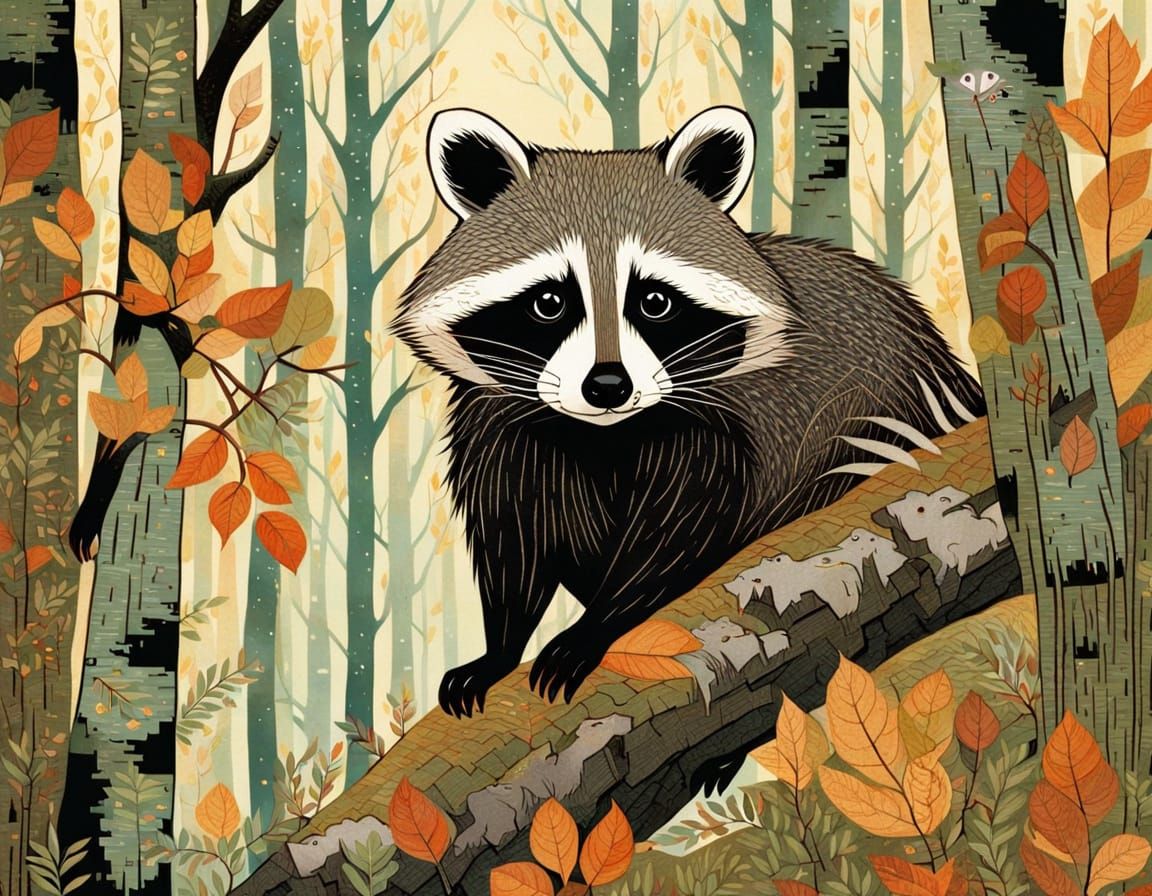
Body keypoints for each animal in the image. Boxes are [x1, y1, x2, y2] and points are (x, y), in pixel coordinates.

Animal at [393, 106, 984, 718]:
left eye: (654, 301)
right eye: (550, 302)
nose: (608, 385)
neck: (600, 433)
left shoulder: (731, 419)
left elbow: (677, 535)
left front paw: (595, 624)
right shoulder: (505, 430)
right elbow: (517, 542)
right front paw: (501, 647)